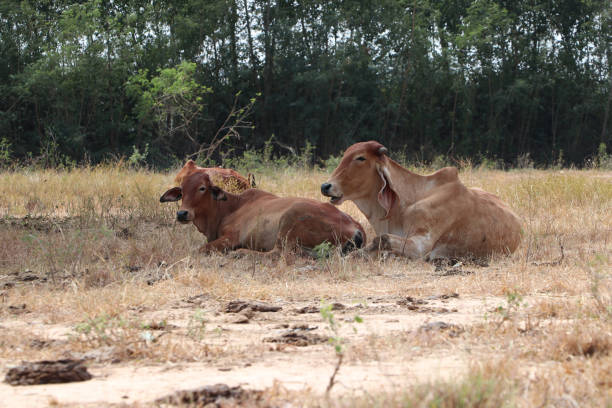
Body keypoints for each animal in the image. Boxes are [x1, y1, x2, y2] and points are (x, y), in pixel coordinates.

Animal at [160, 166, 366, 255]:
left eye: (202, 188)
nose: (182, 214)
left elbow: (201, 249)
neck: (229, 207)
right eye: (182, 190)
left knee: (278, 253)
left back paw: (241, 253)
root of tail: (356, 226)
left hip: (290, 222)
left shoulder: (230, 238)